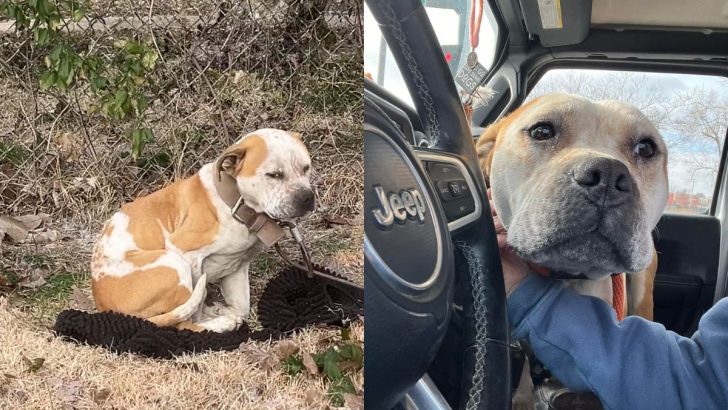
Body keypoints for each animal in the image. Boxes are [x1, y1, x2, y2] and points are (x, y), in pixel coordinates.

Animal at [89, 128, 312, 334]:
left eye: (306, 168)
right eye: (274, 175)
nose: (306, 197)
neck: (236, 204)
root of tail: (105, 306)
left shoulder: (238, 267)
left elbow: (241, 307)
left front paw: (223, 310)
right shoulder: (184, 250)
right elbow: (195, 312)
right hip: (174, 262)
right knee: (184, 322)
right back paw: (219, 324)